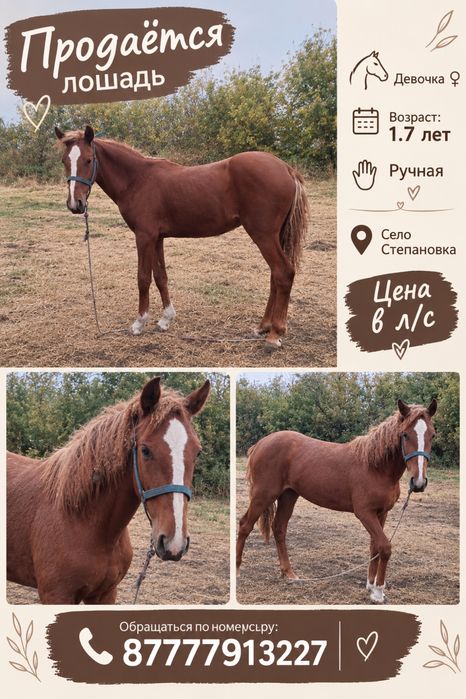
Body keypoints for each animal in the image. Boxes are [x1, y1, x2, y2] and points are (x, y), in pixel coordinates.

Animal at [55, 125, 309, 351]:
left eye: (88, 160)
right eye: (65, 161)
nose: (75, 204)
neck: (138, 179)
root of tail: (286, 168)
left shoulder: (144, 237)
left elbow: (143, 278)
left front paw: (139, 323)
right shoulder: (157, 238)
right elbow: (161, 277)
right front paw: (166, 319)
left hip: (263, 235)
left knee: (283, 273)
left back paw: (274, 335)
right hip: (274, 236)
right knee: (275, 276)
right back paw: (263, 327)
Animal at [236, 399, 437, 603]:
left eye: (432, 435)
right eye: (405, 434)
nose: (419, 482)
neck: (375, 467)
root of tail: (260, 444)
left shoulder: (381, 513)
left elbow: (374, 547)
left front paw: (370, 586)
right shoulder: (365, 513)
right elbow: (384, 547)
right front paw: (378, 593)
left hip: (288, 495)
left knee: (279, 528)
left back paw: (290, 574)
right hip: (263, 495)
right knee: (245, 525)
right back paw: (237, 572)